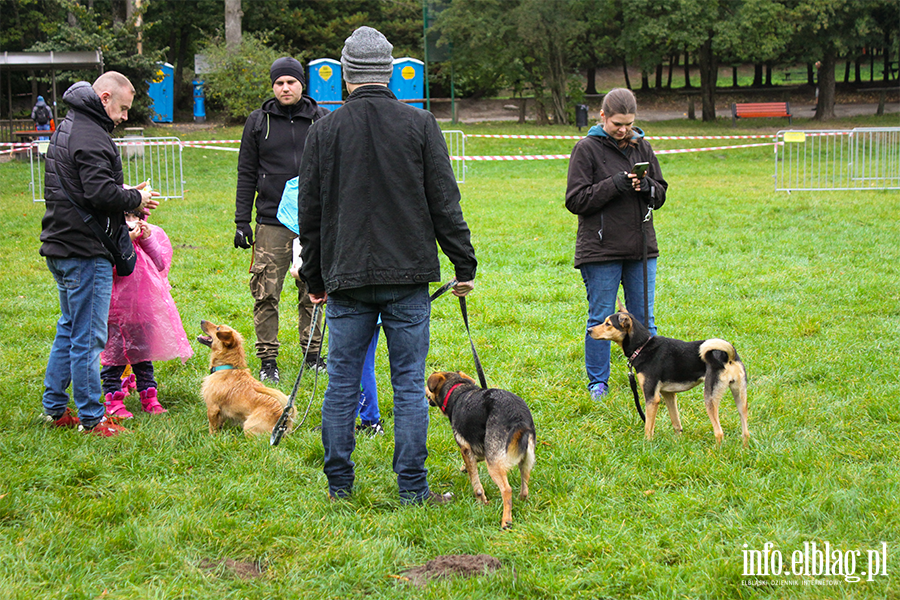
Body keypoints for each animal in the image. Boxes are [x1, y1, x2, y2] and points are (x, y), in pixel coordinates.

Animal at [428, 370, 536, 528]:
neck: (458, 390)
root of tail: (518, 418)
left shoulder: (465, 448)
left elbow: (476, 484)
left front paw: (481, 502)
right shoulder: (481, 446)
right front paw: (464, 468)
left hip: (494, 464)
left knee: (506, 490)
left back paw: (506, 521)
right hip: (527, 460)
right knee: (525, 486)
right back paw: (522, 502)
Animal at [592, 314, 752, 446]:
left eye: (608, 324)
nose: (589, 330)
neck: (642, 346)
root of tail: (728, 356)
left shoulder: (652, 397)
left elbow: (648, 426)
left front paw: (646, 445)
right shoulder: (668, 394)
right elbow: (676, 423)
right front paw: (678, 442)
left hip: (710, 398)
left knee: (719, 432)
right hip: (740, 396)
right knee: (746, 431)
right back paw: (743, 450)